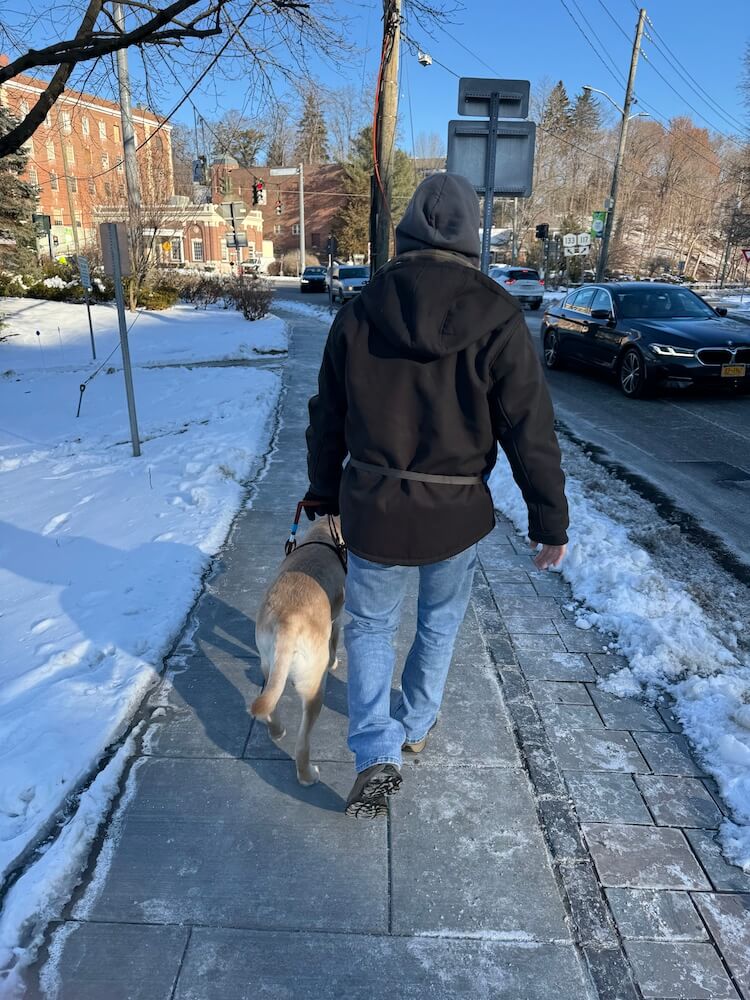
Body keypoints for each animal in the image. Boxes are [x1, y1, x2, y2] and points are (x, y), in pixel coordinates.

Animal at [253, 520, 346, 784]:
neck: (328, 526)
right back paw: (307, 776)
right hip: (314, 688)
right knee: (302, 744)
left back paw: (276, 731)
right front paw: (334, 662)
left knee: (270, 700)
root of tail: (289, 621)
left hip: (268, 662)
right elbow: (335, 639)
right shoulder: (337, 618)